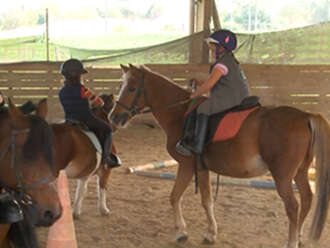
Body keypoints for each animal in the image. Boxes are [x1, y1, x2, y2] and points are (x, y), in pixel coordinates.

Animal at [109, 64, 330, 248]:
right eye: (121, 86)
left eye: (131, 88)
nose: (114, 117)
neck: (180, 113)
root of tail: (305, 116)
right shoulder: (201, 168)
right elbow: (203, 200)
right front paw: (205, 233)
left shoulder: (187, 166)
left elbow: (178, 197)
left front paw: (184, 232)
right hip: (300, 172)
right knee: (307, 198)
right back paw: (299, 236)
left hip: (283, 176)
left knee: (293, 206)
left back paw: (291, 242)